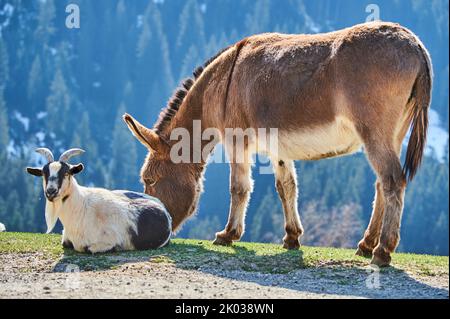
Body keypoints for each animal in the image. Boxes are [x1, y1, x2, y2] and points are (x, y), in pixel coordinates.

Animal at [25, 148, 172, 255]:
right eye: (44, 174)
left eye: (67, 173)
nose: (51, 191)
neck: (81, 209)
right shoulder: (66, 239)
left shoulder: (108, 241)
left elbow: (90, 249)